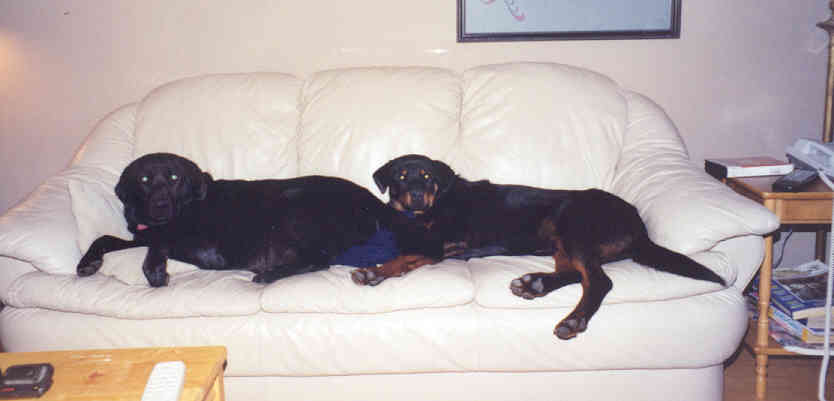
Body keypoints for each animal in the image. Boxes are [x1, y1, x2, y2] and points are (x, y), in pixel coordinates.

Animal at [75, 152, 396, 286]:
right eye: (143, 179)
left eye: (174, 177)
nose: (160, 206)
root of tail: (371, 200)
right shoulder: (142, 235)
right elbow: (105, 237)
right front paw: (86, 263)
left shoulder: (209, 251)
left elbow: (161, 243)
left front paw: (154, 271)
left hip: (294, 205)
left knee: (319, 260)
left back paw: (269, 274)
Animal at [354, 153, 724, 338]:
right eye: (402, 177)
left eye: (428, 177)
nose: (417, 195)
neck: (427, 210)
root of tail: (640, 225)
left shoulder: (440, 244)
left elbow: (405, 256)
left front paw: (374, 272)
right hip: (561, 242)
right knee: (578, 275)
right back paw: (536, 283)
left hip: (574, 225)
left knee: (599, 281)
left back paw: (573, 320)